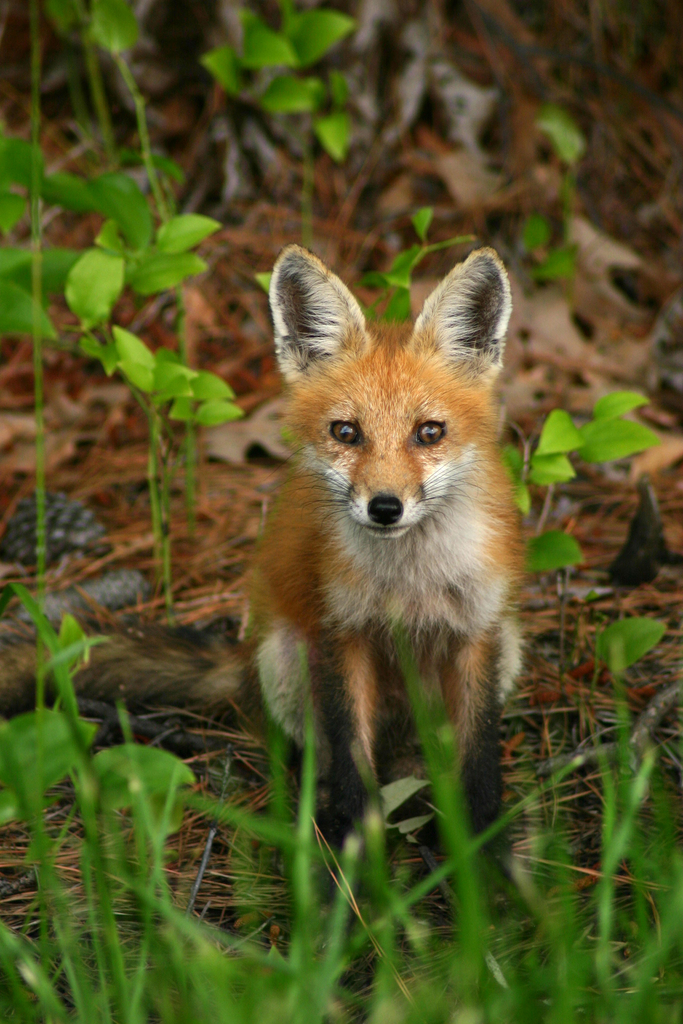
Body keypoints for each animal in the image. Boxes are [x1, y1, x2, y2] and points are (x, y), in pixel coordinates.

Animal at [0, 245, 524, 847]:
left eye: (430, 432)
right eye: (346, 433)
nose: (385, 507)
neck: (409, 585)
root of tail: (243, 662)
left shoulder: (478, 632)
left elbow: (479, 759)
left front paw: (483, 848)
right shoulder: (341, 631)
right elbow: (351, 754)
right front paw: (351, 845)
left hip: (507, 647)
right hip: (285, 658)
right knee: (319, 749)